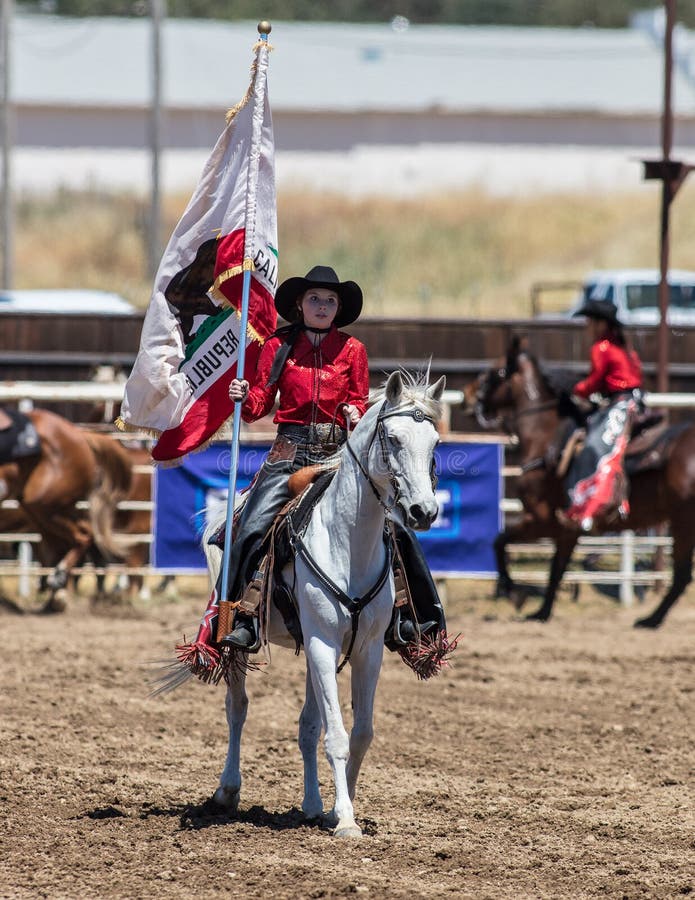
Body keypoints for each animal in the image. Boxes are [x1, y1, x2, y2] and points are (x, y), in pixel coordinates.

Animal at [0, 410, 133, 612]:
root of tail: (81, 434)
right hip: (43, 512)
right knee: (61, 545)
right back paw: (56, 594)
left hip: (44, 505)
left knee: (82, 536)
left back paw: (59, 579)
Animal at [201, 370, 446, 836]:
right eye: (393, 438)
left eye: (435, 442)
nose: (423, 511)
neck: (347, 541)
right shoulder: (322, 641)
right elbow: (336, 736)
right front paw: (346, 819)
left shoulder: (366, 649)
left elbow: (359, 733)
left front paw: (337, 806)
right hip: (249, 644)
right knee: (237, 709)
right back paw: (226, 791)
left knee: (306, 725)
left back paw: (312, 804)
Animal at [462, 336, 695, 624]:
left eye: (496, 372)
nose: (466, 395)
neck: (545, 438)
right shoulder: (567, 529)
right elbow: (556, 569)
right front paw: (541, 612)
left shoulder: (542, 520)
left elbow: (500, 541)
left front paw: (516, 595)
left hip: (683, 522)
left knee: (681, 575)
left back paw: (650, 620)